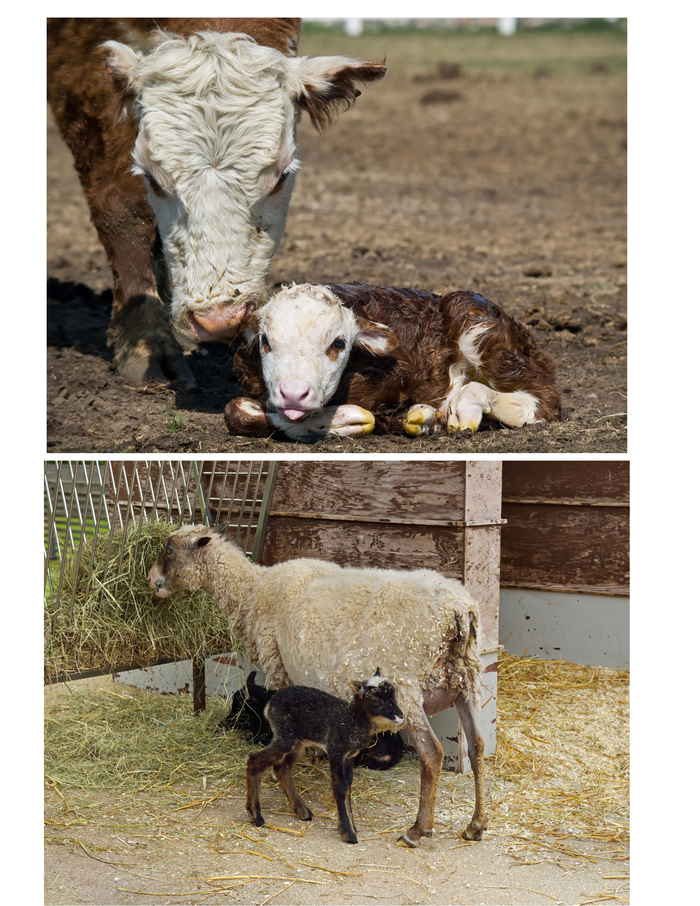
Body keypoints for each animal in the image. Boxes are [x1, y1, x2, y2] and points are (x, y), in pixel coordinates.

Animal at [225, 281, 564, 441]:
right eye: (265, 341)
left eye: (338, 342)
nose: (294, 394)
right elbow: (236, 411)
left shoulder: (398, 377)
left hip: (476, 319)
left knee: (543, 399)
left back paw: (467, 404)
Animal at [246, 671, 404, 843]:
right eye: (377, 700)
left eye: (394, 696)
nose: (400, 716)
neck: (351, 721)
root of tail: (270, 704)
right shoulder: (336, 751)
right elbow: (339, 786)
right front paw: (347, 833)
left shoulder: (349, 756)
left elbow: (348, 785)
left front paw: (352, 826)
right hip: (284, 737)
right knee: (256, 760)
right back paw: (256, 816)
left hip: (297, 742)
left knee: (282, 767)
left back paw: (302, 811)